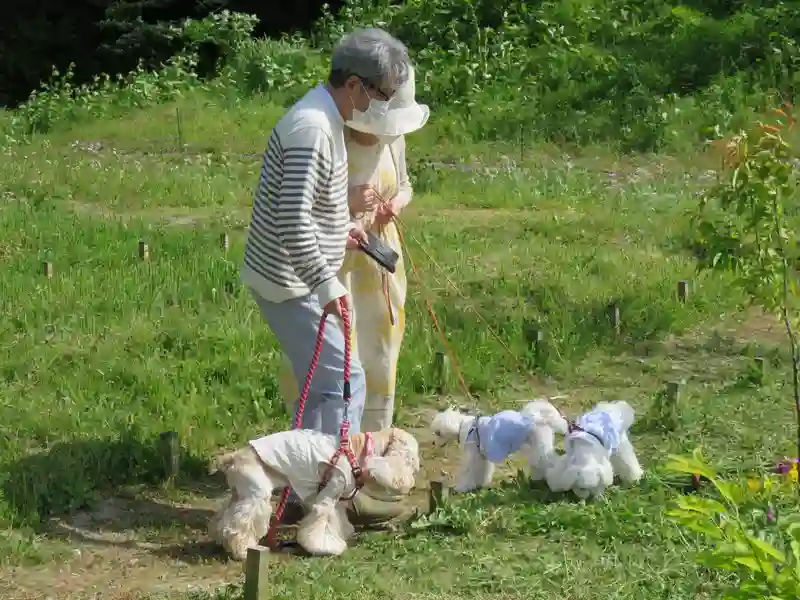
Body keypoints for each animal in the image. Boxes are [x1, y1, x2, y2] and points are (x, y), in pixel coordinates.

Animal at [208, 424, 418, 560]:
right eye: (411, 460)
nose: (412, 482)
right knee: (239, 526)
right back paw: (241, 551)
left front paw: (343, 533)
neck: (356, 453)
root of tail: (232, 457)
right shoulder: (327, 497)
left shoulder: (334, 498)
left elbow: (337, 519)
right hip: (256, 495)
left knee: (224, 519)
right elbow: (320, 522)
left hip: (240, 493)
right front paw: (325, 548)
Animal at [432, 398, 568, 492]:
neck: (465, 426)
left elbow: (468, 472)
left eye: (438, 433)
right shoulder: (482, 456)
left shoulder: (472, 456)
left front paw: (462, 487)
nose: (433, 442)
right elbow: (484, 470)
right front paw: (481, 483)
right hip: (537, 446)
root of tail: (538, 417)